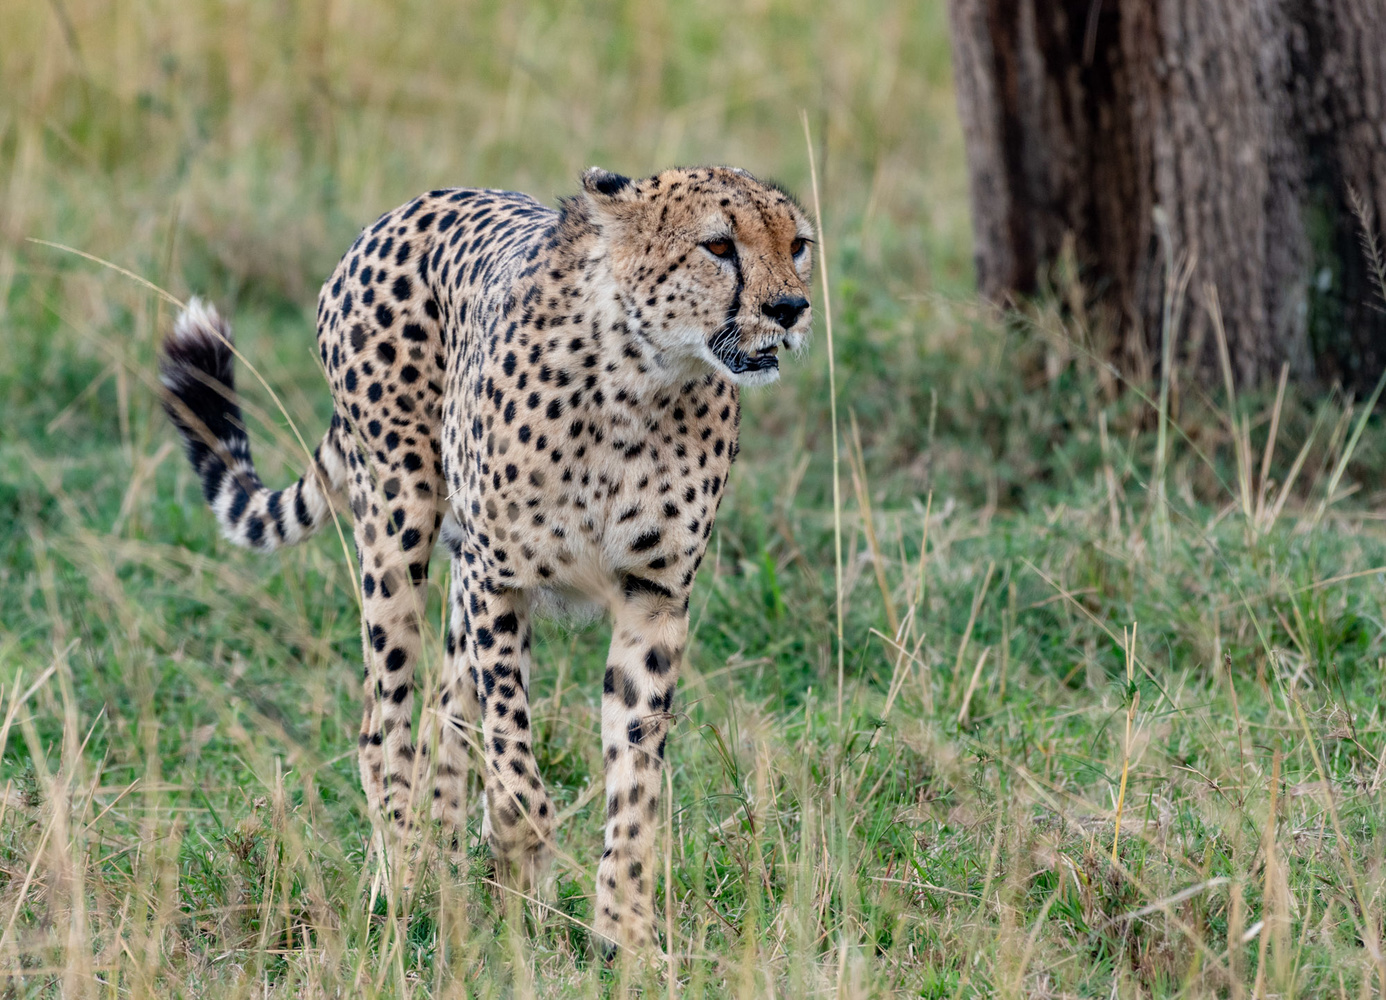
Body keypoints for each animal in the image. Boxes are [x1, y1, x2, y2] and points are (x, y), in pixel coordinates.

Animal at [160, 165, 809, 952]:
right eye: (718, 245)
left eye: (798, 245)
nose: (791, 308)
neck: (643, 383)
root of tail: (409, 206)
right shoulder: (496, 578)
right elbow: (513, 751)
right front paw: (523, 856)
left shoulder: (653, 595)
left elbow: (634, 773)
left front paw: (623, 933)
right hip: (398, 523)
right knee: (384, 727)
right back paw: (399, 885)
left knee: (442, 715)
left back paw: (445, 869)